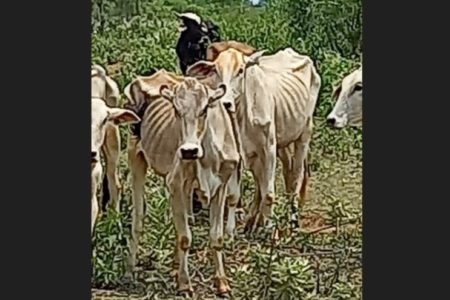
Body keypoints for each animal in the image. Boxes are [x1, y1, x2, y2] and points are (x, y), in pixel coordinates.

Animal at [123, 73, 241, 296]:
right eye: (176, 111)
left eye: (204, 109)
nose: (188, 151)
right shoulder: (176, 183)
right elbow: (185, 238)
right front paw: (185, 284)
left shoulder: (220, 186)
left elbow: (217, 237)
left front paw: (221, 283)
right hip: (136, 156)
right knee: (138, 217)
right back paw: (130, 269)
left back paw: (175, 266)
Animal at [185, 41, 320, 231]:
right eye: (216, 70)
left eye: (241, 70)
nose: (225, 102)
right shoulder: (241, 153)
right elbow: (241, 192)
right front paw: (241, 225)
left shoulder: (269, 148)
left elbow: (268, 192)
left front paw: (268, 227)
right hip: (281, 143)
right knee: (281, 173)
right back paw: (254, 220)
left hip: (304, 133)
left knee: (296, 175)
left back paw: (292, 218)